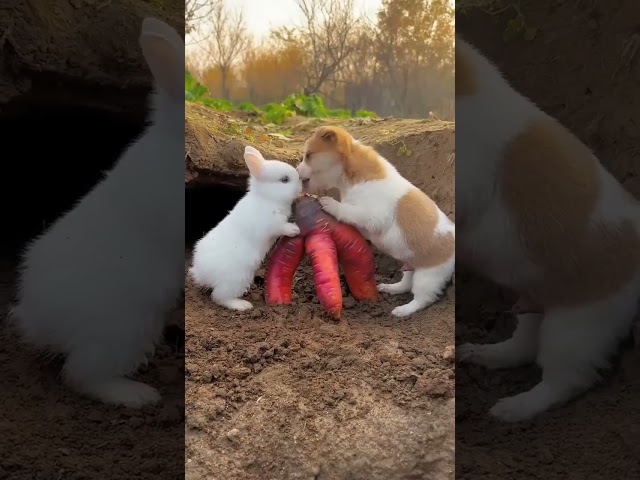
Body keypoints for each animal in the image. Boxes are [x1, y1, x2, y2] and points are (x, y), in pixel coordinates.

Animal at [190, 146, 302, 312]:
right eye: (284, 180)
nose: (301, 186)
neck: (267, 198)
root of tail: (201, 273)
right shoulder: (270, 224)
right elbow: (281, 227)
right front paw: (294, 230)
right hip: (236, 279)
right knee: (219, 297)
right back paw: (243, 305)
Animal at [296, 125, 456, 316]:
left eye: (308, 155)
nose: (295, 171)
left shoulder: (372, 215)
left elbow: (347, 210)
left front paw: (330, 203)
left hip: (428, 276)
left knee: (422, 298)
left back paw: (402, 311)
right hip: (411, 266)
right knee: (405, 284)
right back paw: (390, 288)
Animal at [456, 35, 640, 422]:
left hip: (578, 327)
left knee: (564, 380)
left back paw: (512, 410)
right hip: (537, 306)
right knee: (522, 348)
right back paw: (481, 354)